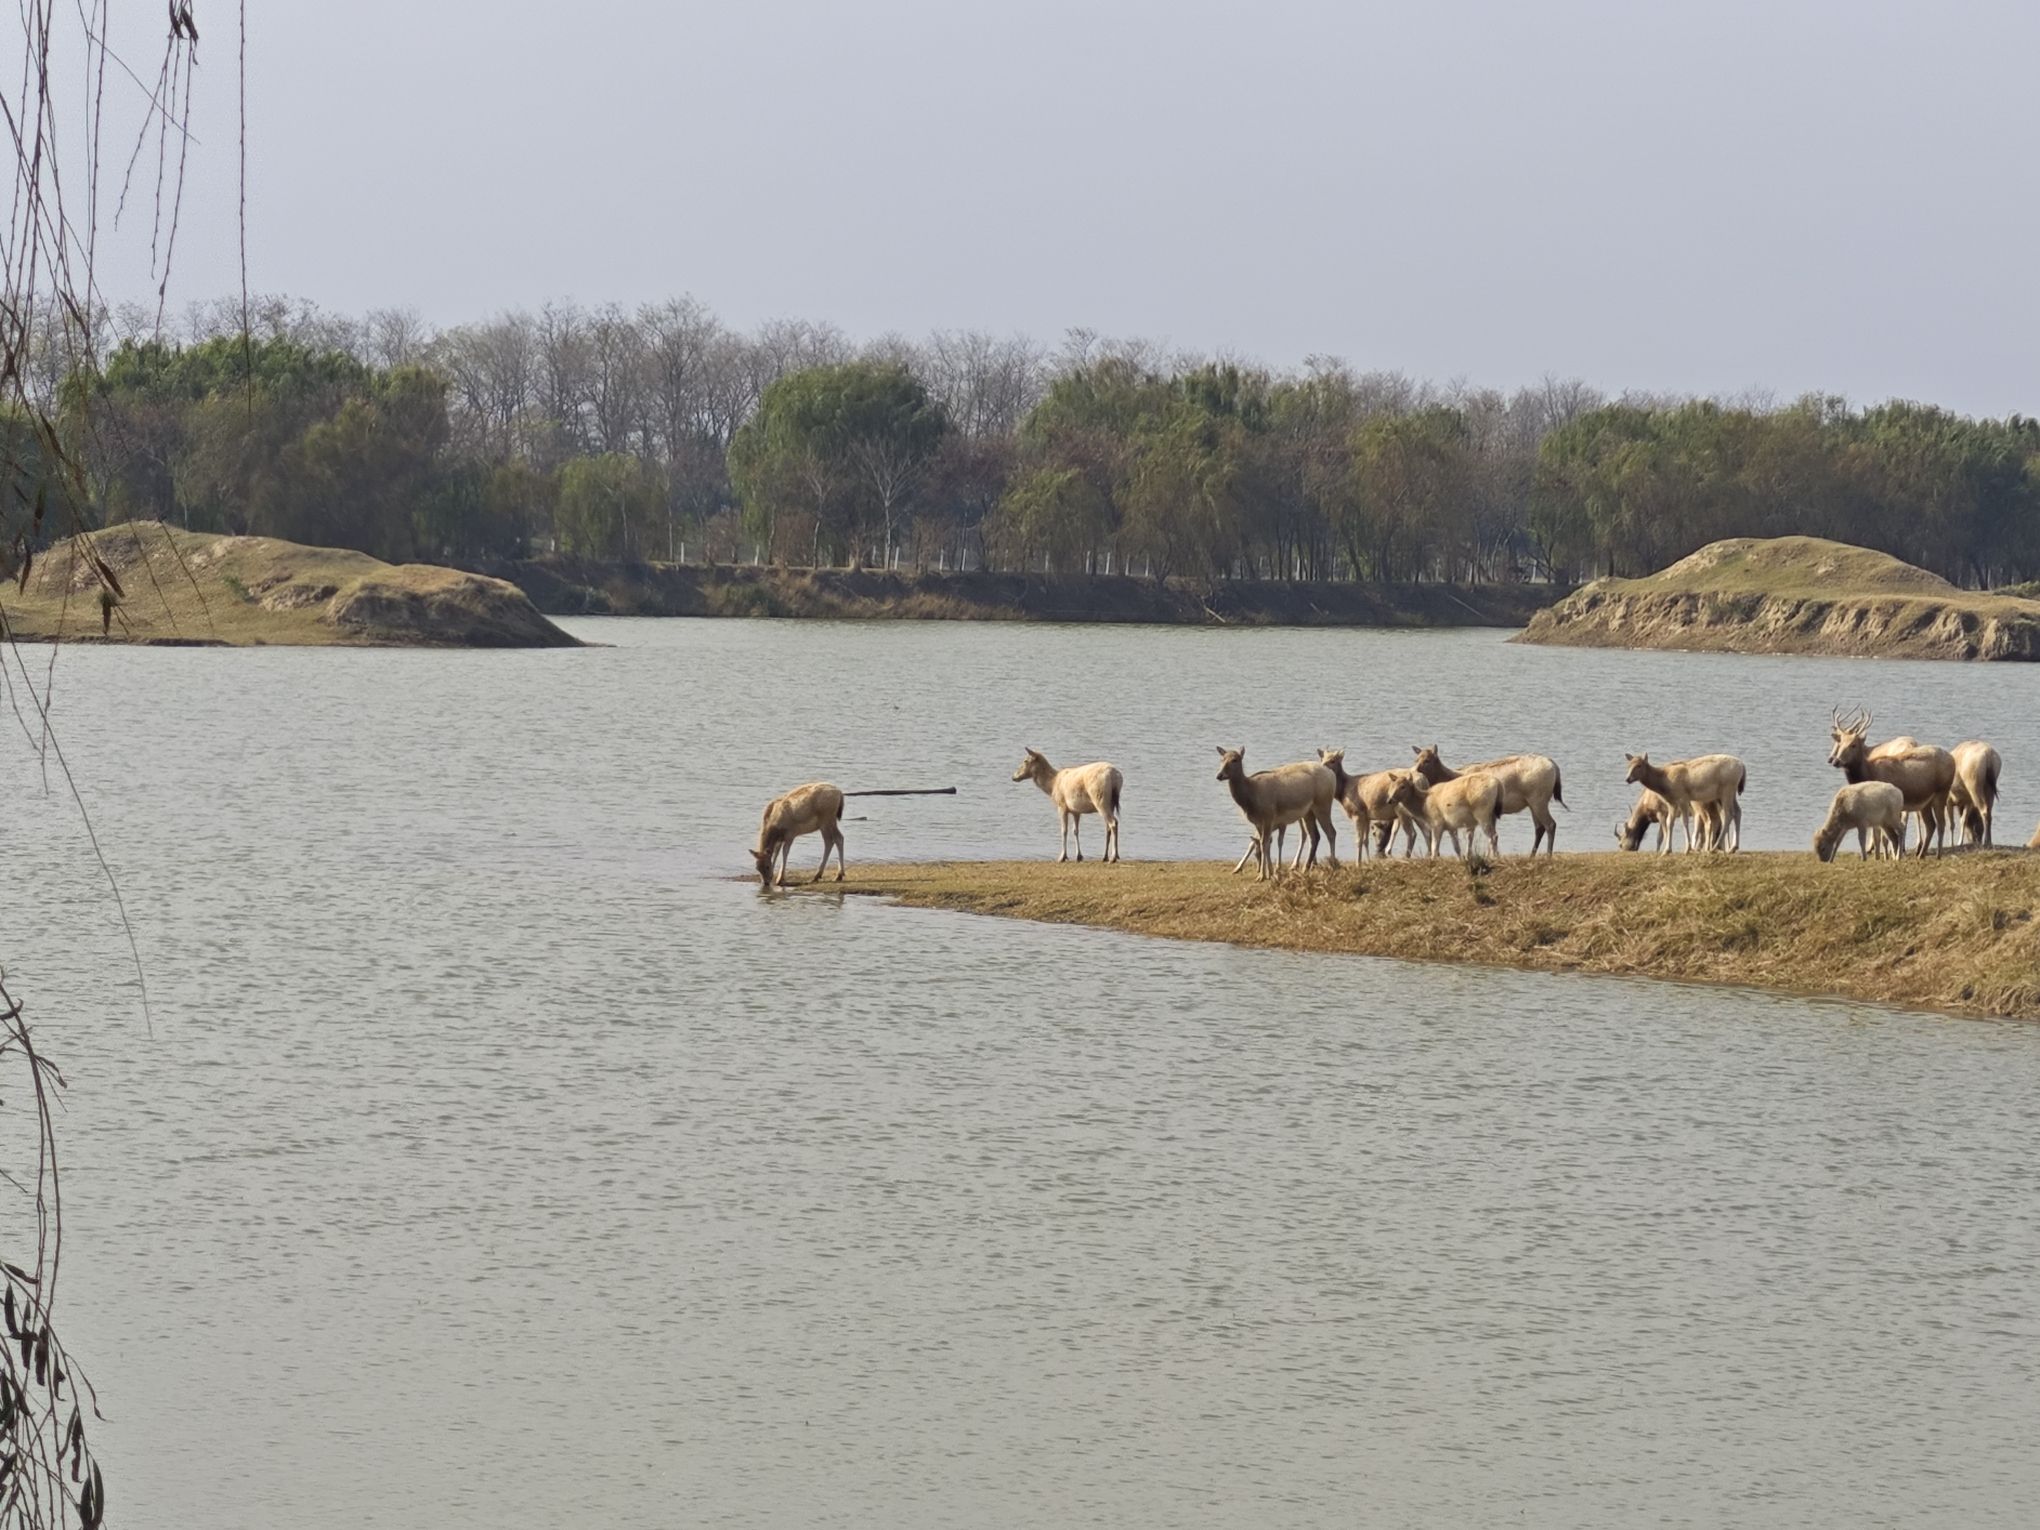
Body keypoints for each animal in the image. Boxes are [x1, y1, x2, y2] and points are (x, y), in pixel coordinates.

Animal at [1410, 745, 1565, 856]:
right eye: (1416, 759)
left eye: (1427, 760)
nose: (1414, 771)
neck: (1452, 776)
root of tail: (1555, 767)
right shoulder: (1491, 814)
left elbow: (1472, 834)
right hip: (1533, 802)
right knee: (1539, 827)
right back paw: (1532, 855)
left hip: (1538, 799)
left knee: (1550, 824)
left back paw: (1548, 855)